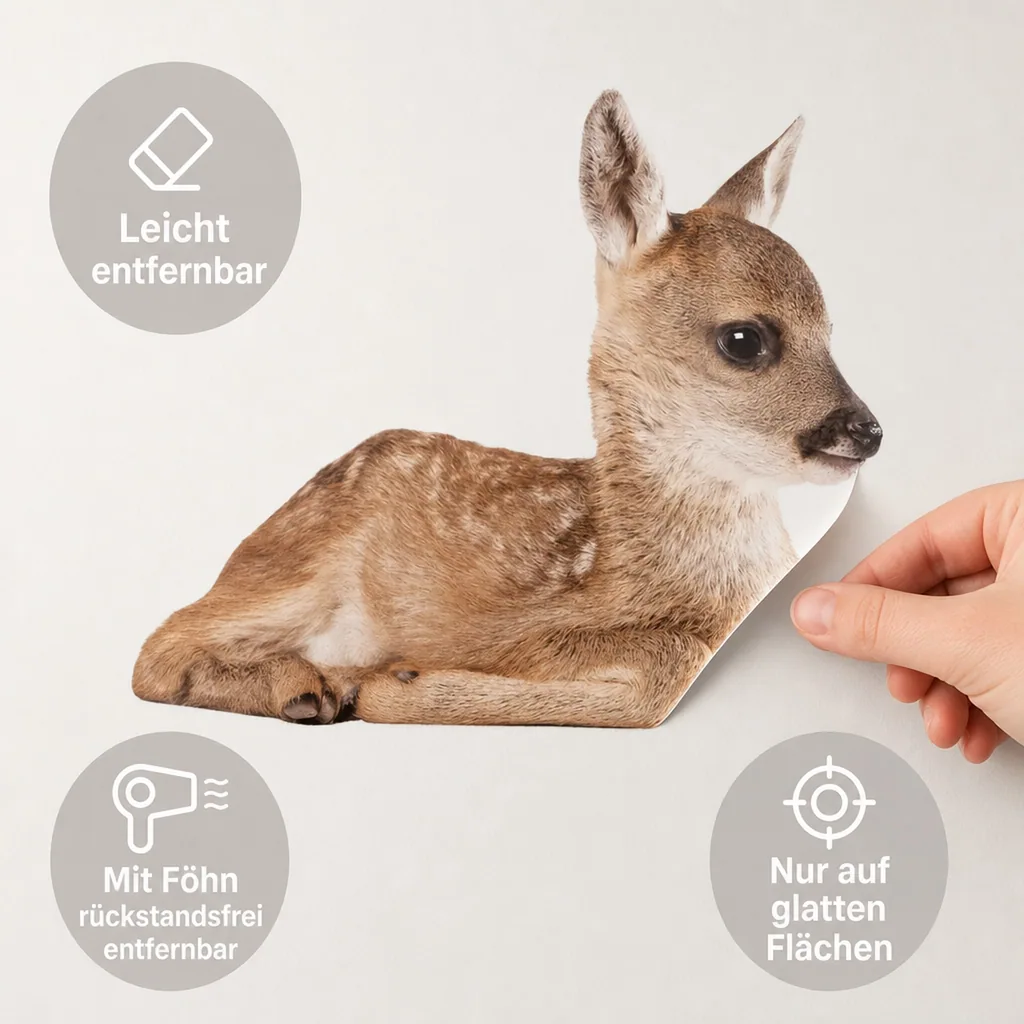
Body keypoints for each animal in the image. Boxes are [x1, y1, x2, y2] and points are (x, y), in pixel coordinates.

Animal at [132, 90, 882, 728]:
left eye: (830, 329)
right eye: (744, 339)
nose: (868, 430)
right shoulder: (514, 629)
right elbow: (663, 661)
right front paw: (394, 684)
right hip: (295, 568)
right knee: (157, 648)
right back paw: (307, 686)